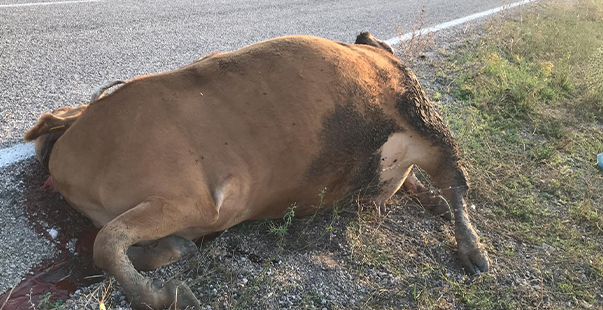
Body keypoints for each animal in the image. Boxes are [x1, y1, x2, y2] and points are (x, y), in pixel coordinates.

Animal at [26, 32, 490, 308]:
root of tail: (373, 45)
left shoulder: (195, 199)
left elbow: (104, 243)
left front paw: (167, 294)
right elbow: (118, 243)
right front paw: (174, 252)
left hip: (423, 117)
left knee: (457, 183)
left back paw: (472, 248)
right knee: (415, 182)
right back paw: (431, 202)